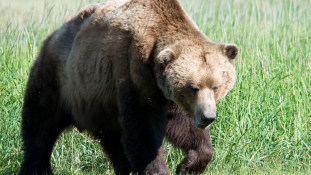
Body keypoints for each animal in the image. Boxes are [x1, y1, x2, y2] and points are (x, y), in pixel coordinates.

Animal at [20, 0, 239, 174]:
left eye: (216, 86)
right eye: (193, 87)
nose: (206, 117)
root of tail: (54, 34)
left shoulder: (167, 94)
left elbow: (183, 126)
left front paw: (189, 165)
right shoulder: (134, 71)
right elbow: (143, 128)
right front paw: (159, 169)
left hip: (102, 103)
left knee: (114, 140)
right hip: (59, 79)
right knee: (40, 126)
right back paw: (36, 168)